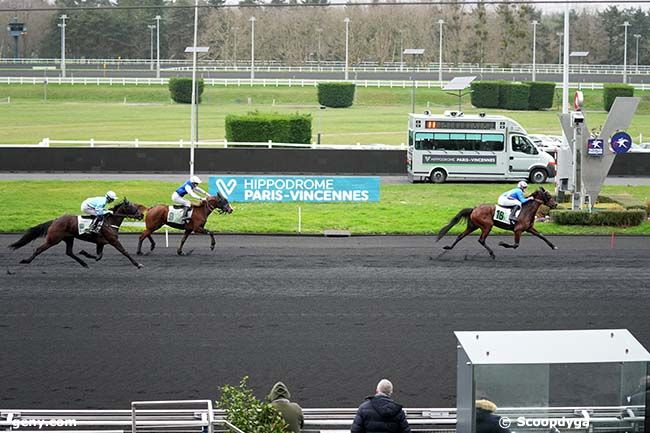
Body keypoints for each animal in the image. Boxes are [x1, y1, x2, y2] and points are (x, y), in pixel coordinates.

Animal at [10, 199, 144, 266]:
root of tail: (55, 220)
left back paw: (83, 263)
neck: (109, 221)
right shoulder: (113, 240)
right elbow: (124, 252)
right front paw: (137, 264)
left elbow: (98, 256)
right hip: (53, 239)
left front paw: (85, 253)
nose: (141, 215)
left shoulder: (101, 243)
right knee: (39, 249)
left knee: (69, 252)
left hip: (69, 238)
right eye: (133, 207)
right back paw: (26, 261)